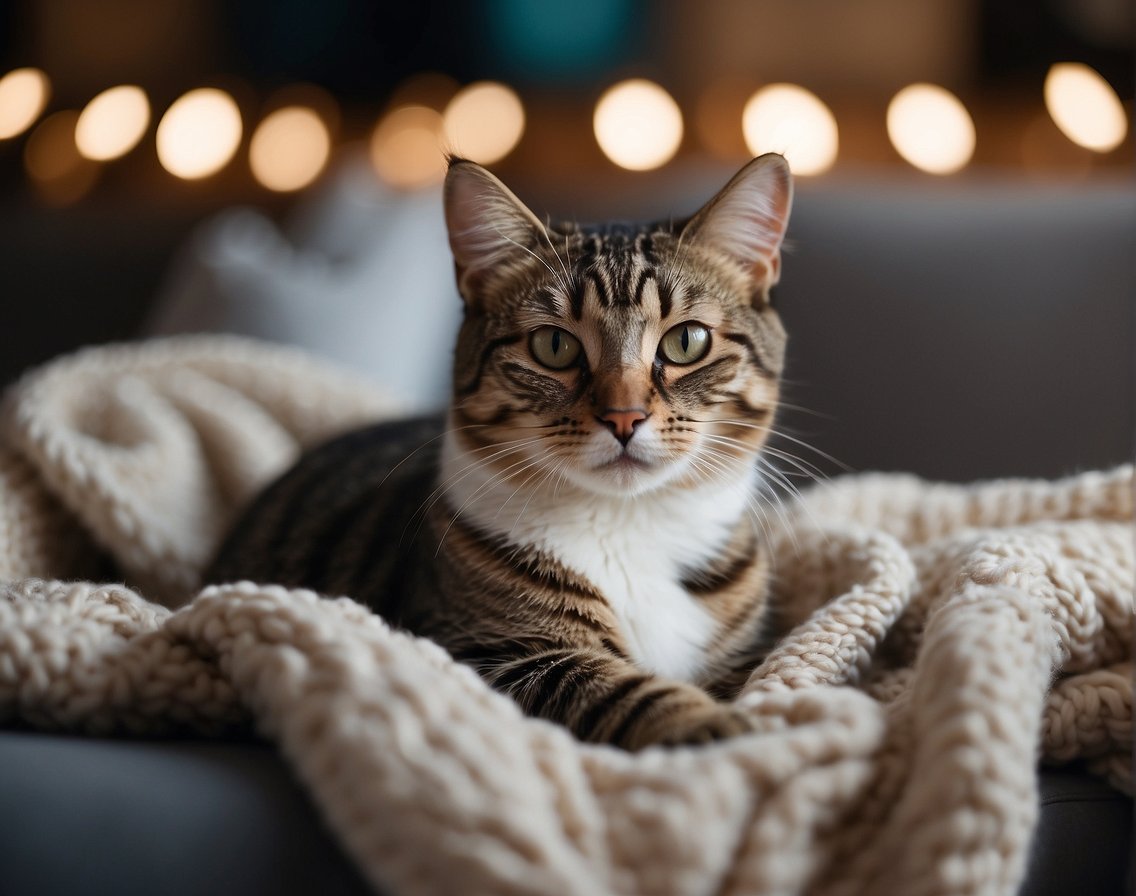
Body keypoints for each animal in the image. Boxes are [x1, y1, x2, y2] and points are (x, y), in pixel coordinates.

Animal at [206, 153, 790, 749]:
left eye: (686, 341)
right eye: (554, 346)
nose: (624, 416)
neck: (627, 522)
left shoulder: (743, 653)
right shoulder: (483, 655)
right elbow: (616, 688)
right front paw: (713, 724)